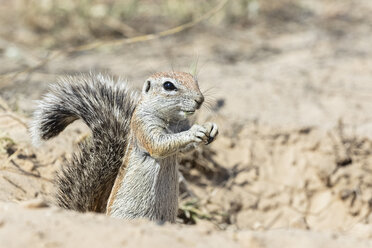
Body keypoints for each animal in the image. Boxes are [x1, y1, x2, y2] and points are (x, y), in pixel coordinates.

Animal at [31, 71, 221, 223]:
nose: (200, 99)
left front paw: (210, 127)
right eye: (168, 85)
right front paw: (194, 132)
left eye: (194, 80)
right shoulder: (143, 127)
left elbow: (183, 149)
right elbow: (159, 144)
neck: (172, 121)